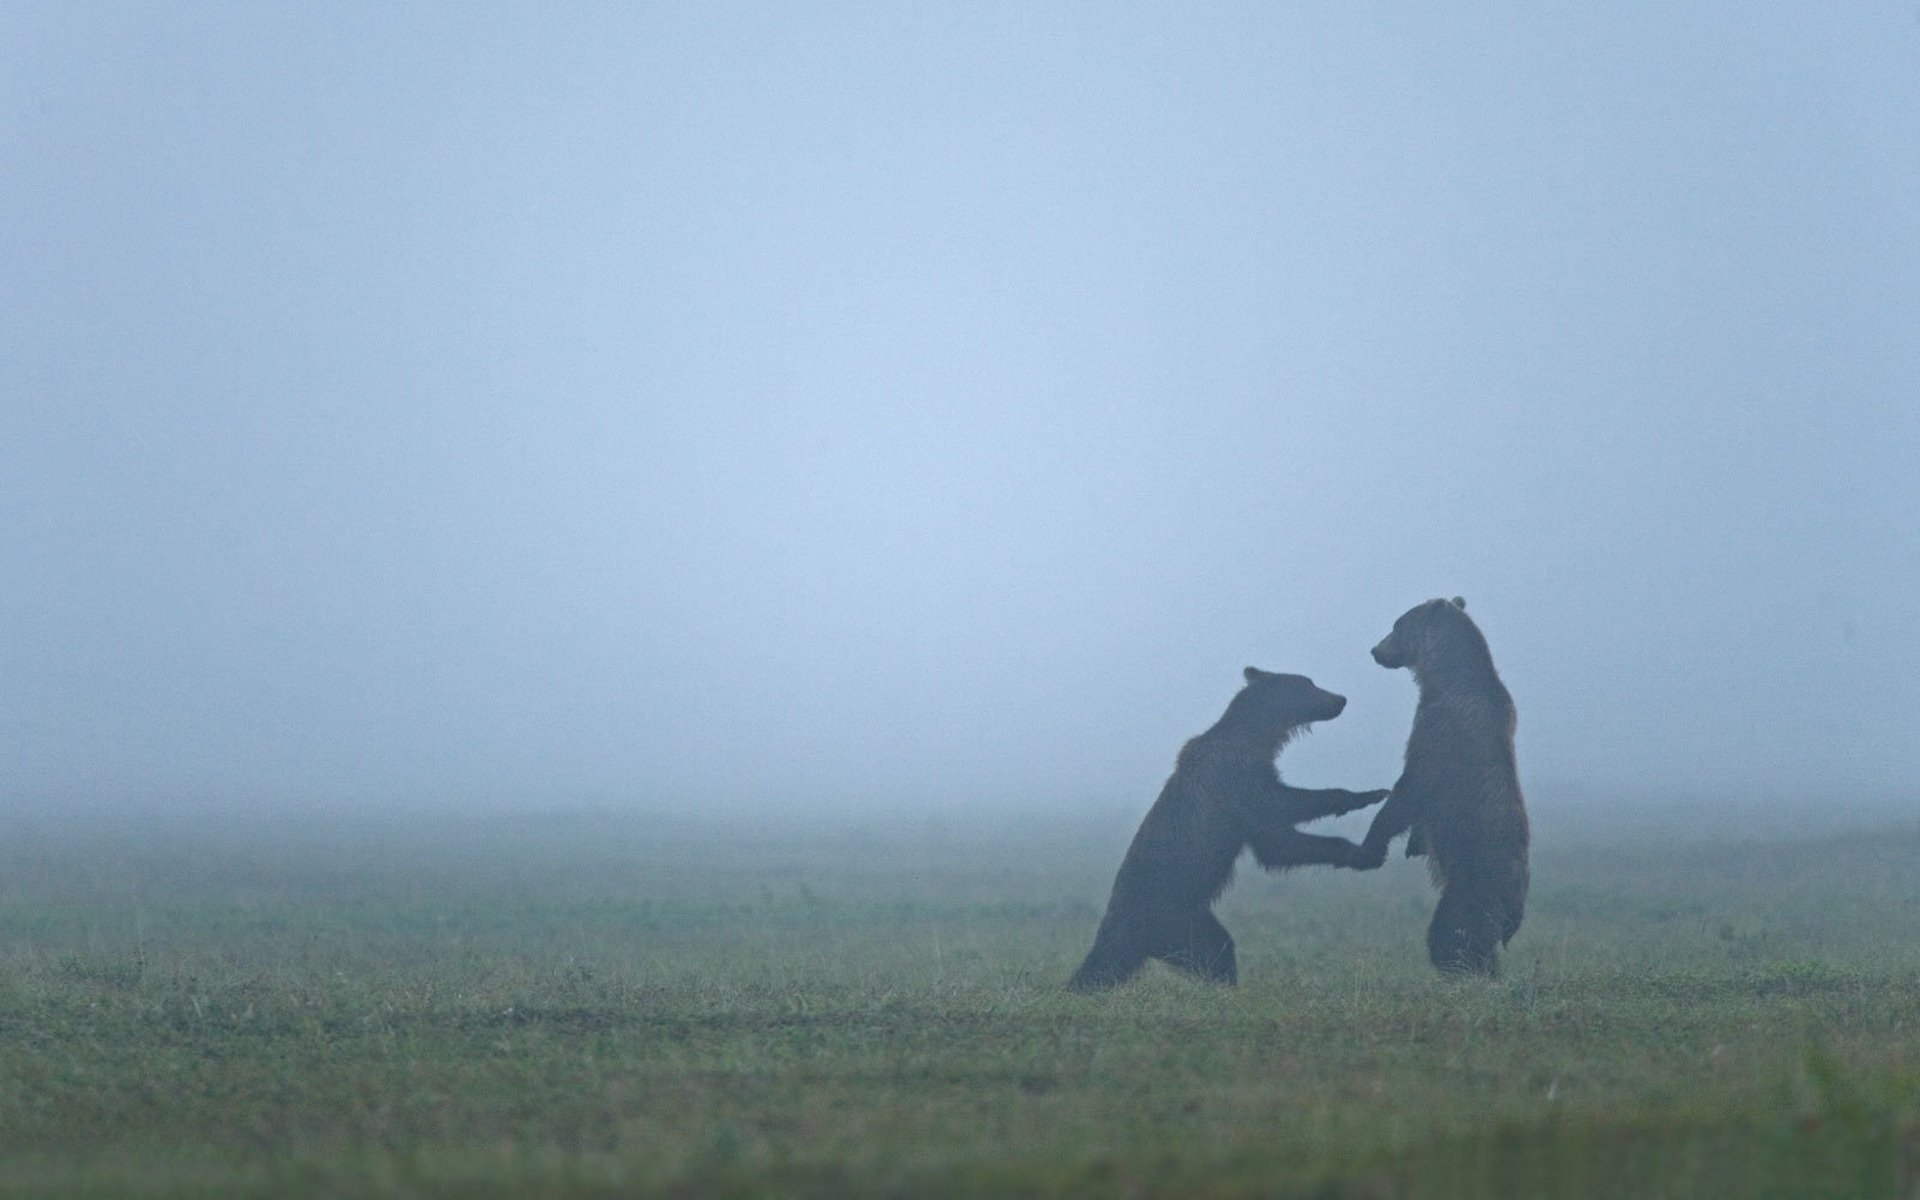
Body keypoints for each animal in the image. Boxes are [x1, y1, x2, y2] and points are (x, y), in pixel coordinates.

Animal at [1067, 667, 1391, 991]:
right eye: (1308, 685)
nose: (1341, 699)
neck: (1257, 738)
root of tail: (1117, 920)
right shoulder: (1238, 783)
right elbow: (1279, 827)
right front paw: (1367, 814)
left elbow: (1276, 843)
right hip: (1171, 915)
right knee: (1205, 952)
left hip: (1193, 917)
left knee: (1216, 946)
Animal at [1352, 597, 1529, 977]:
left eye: (1397, 625)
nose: (1375, 650)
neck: (1444, 677)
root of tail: (1515, 908)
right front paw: (1414, 844)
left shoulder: (1439, 730)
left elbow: (1409, 790)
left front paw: (1370, 846)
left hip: (1474, 881)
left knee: (1452, 933)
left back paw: (1465, 971)